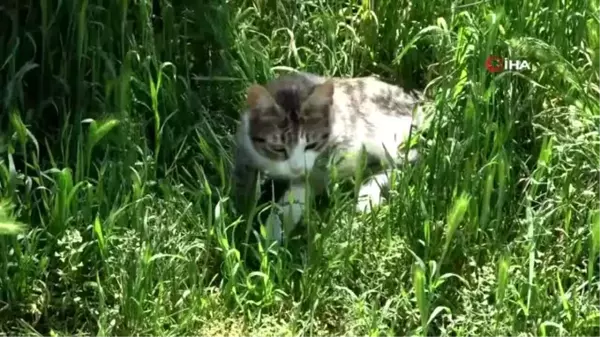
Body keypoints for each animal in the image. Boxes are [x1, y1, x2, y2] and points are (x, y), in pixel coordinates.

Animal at [231, 71, 426, 244]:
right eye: (278, 148)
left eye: (311, 145)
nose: (297, 168)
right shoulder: (245, 149)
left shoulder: (338, 153)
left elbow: (307, 184)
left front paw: (273, 229)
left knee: (405, 162)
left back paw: (368, 195)